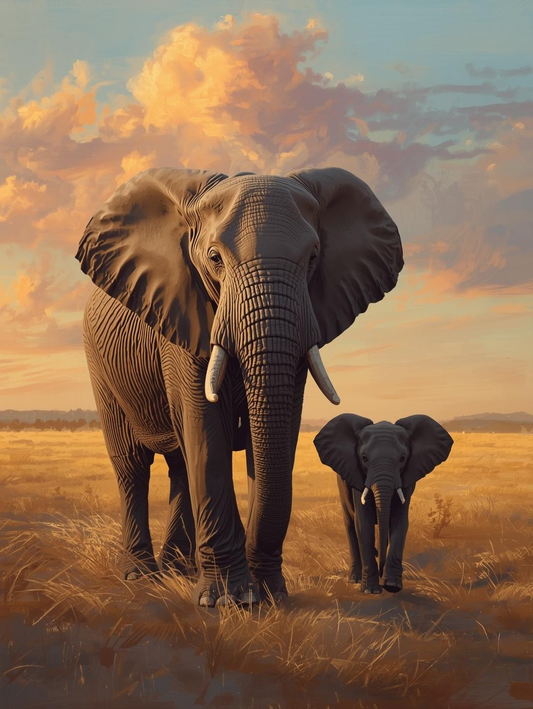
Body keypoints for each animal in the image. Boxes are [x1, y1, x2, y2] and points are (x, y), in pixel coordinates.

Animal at [75, 166, 403, 608]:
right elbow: (206, 432)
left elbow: (273, 434)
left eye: (313, 258)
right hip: (100, 365)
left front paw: (268, 596)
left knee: (180, 466)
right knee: (132, 465)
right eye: (215, 259)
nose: (257, 589)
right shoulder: (184, 313)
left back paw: (178, 570)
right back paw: (140, 575)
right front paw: (224, 601)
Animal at [314, 414, 453, 594]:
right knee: (350, 523)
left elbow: (399, 521)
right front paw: (370, 591)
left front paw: (392, 586)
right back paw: (355, 579)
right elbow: (363, 523)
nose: (380, 572)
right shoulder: (358, 476)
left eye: (402, 458)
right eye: (364, 458)